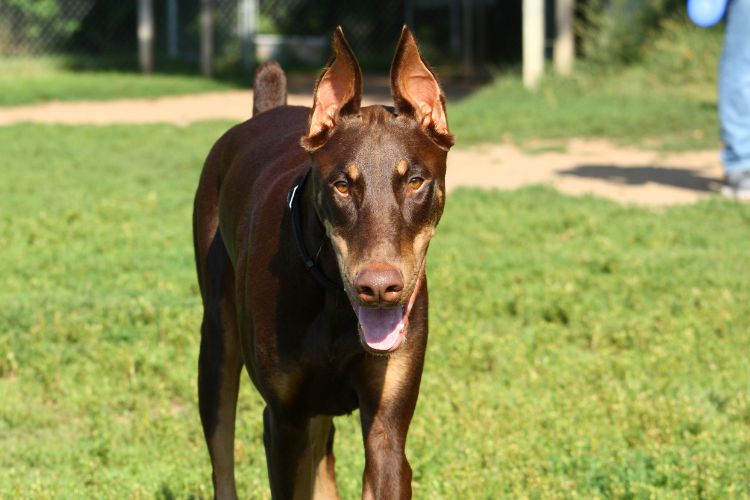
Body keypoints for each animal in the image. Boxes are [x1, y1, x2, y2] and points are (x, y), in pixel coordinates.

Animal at [191, 28, 456, 500]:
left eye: (415, 180)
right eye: (342, 185)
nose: (379, 287)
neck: (335, 301)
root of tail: (266, 111)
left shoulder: (387, 420)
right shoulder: (285, 420)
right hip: (218, 344)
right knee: (222, 456)